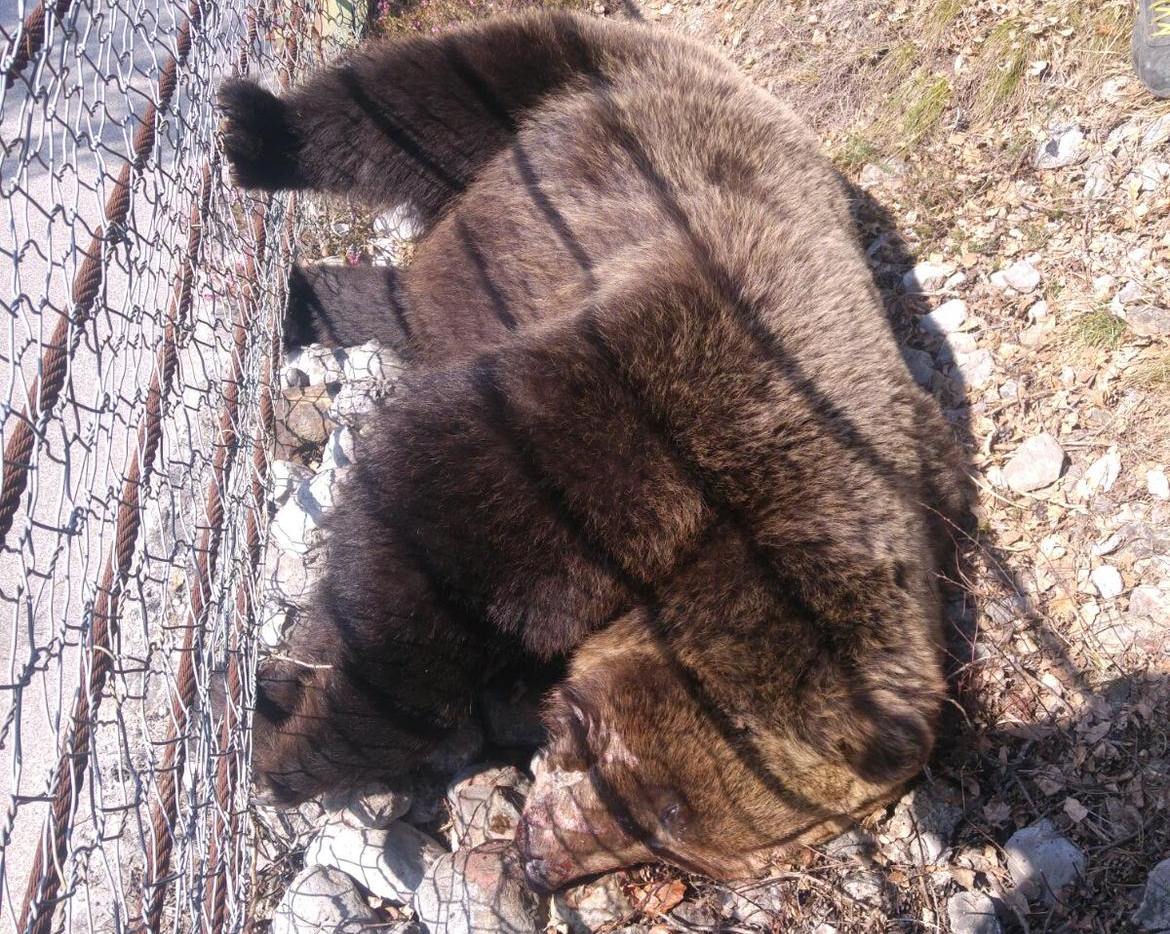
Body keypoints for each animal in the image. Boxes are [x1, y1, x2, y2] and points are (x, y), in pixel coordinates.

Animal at [219, 10, 970, 891]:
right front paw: (299, 743)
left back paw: (307, 303)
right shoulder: (674, 390)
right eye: (669, 806)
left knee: (414, 296)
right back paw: (257, 130)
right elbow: (440, 520)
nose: (542, 860)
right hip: (568, 102)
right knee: (413, 101)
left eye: (678, 848)